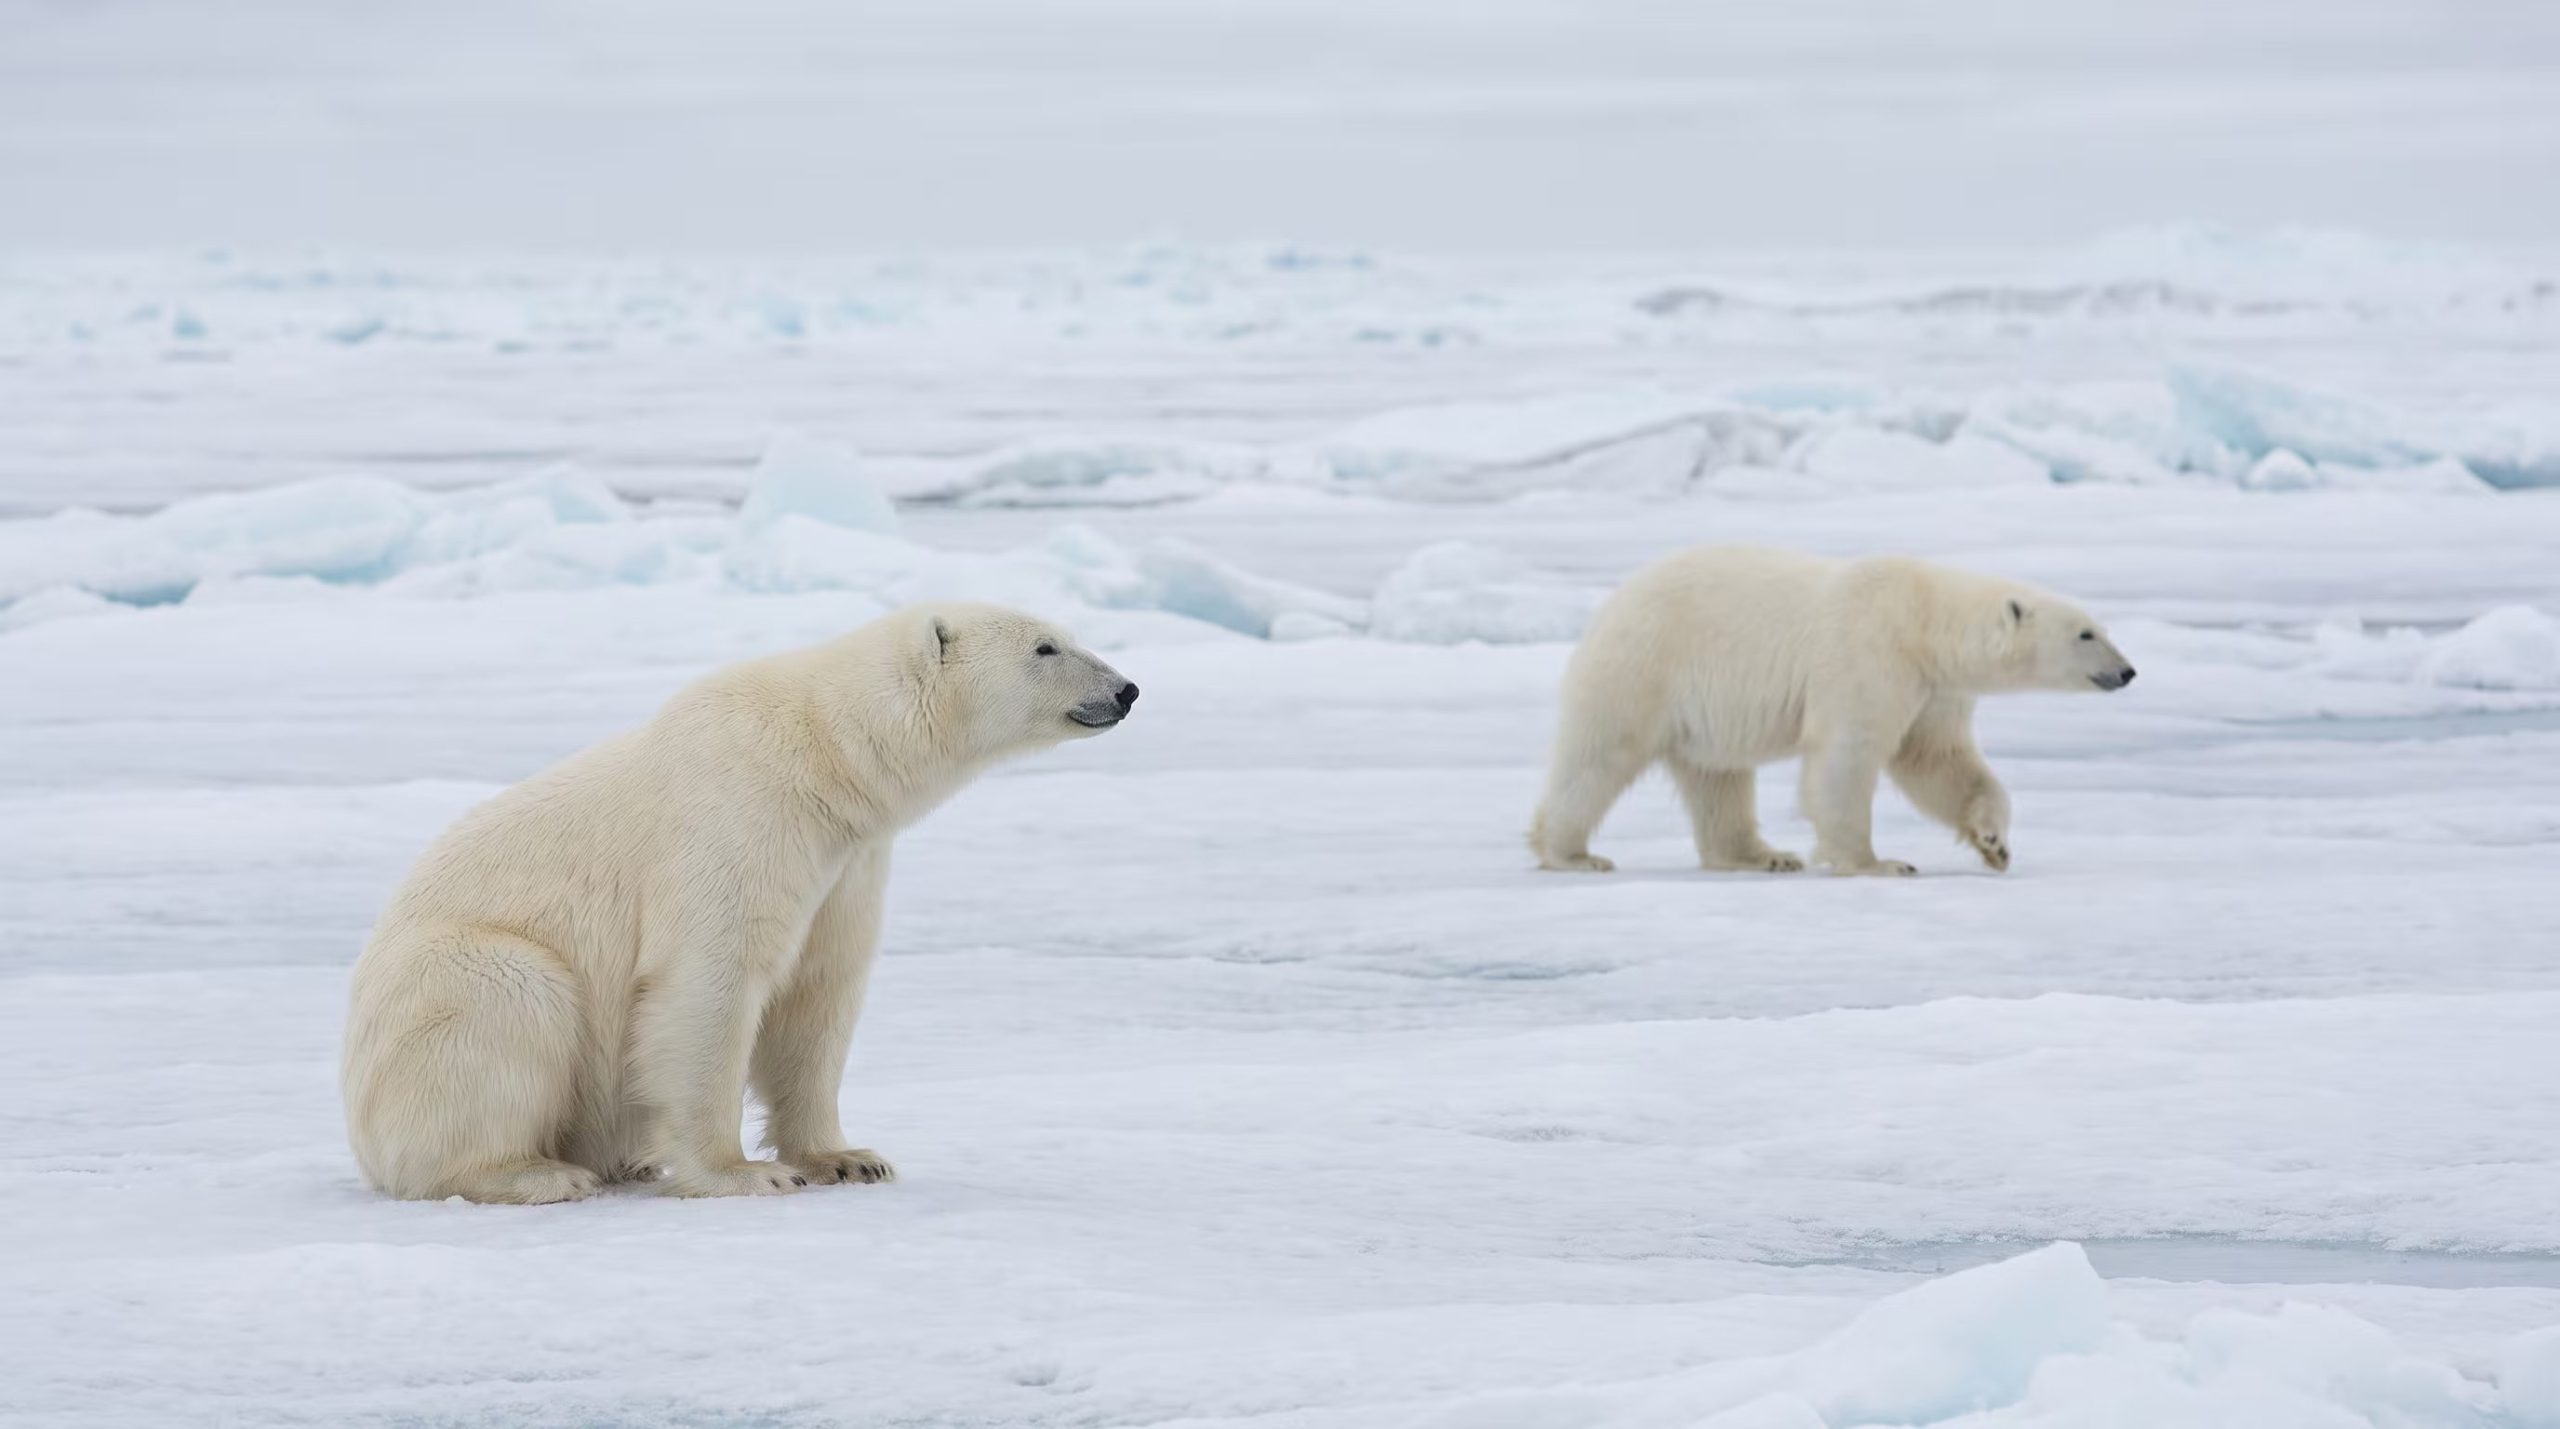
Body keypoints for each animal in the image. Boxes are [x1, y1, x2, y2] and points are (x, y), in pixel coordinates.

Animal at [341, 602, 1138, 1203]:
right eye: (1046, 646)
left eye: (1065, 633)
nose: (1127, 689)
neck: (823, 754)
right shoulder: (737, 817)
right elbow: (711, 981)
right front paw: (744, 1173)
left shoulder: (846, 861)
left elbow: (820, 993)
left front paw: (848, 1157)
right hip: (447, 984)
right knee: (510, 998)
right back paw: (537, 1173)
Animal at [1529, 546, 2134, 877]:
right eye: (2086, 634)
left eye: (2100, 627)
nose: (2128, 671)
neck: (1923, 620)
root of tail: (1612, 602)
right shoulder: (1867, 652)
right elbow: (1848, 753)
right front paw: (1878, 862)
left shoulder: (1933, 688)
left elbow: (1938, 760)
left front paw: (1994, 844)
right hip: (1646, 665)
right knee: (1599, 757)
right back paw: (1572, 853)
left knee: (1718, 778)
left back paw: (1764, 855)